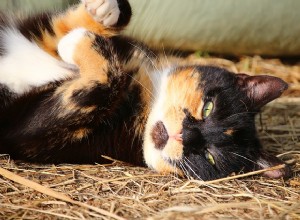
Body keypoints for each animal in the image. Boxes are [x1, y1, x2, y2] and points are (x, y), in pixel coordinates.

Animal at [0, 0, 292, 180]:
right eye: (208, 108)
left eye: (209, 157)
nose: (186, 135)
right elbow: (56, 28)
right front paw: (104, 11)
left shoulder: (31, 132)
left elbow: (105, 80)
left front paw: (77, 41)